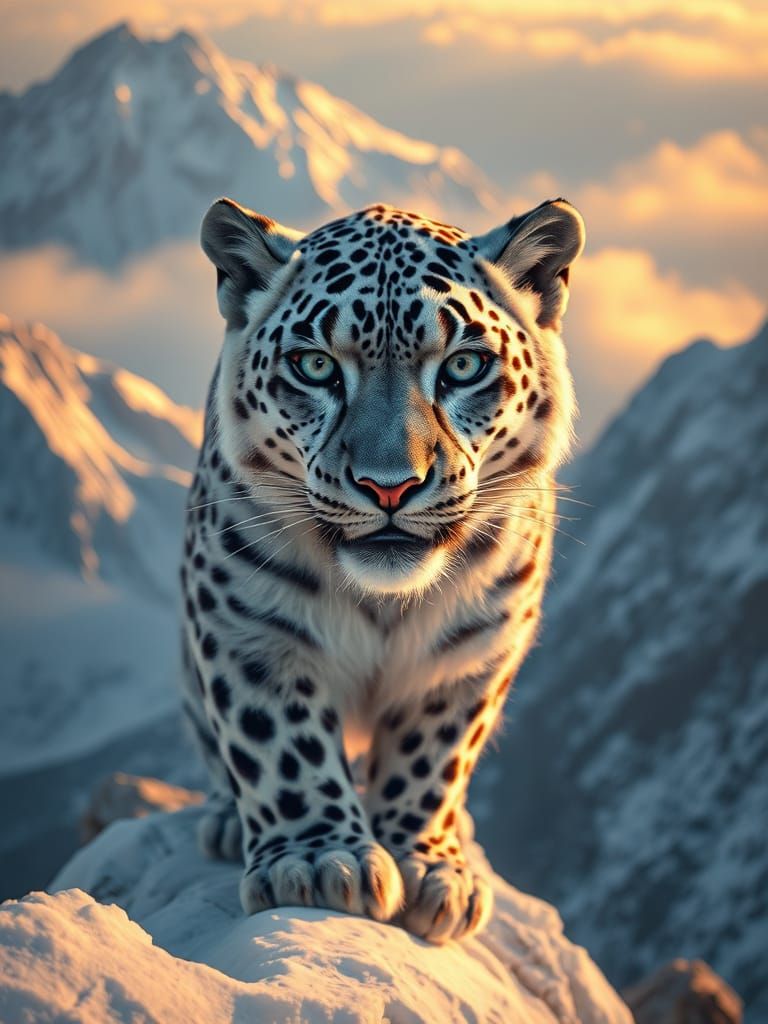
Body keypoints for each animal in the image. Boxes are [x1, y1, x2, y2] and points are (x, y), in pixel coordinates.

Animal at [179, 196, 584, 944]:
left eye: (463, 366)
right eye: (314, 367)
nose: (389, 486)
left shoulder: (472, 649)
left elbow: (435, 753)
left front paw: (426, 865)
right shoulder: (248, 626)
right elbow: (280, 743)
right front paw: (316, 863)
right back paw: (225, 819)